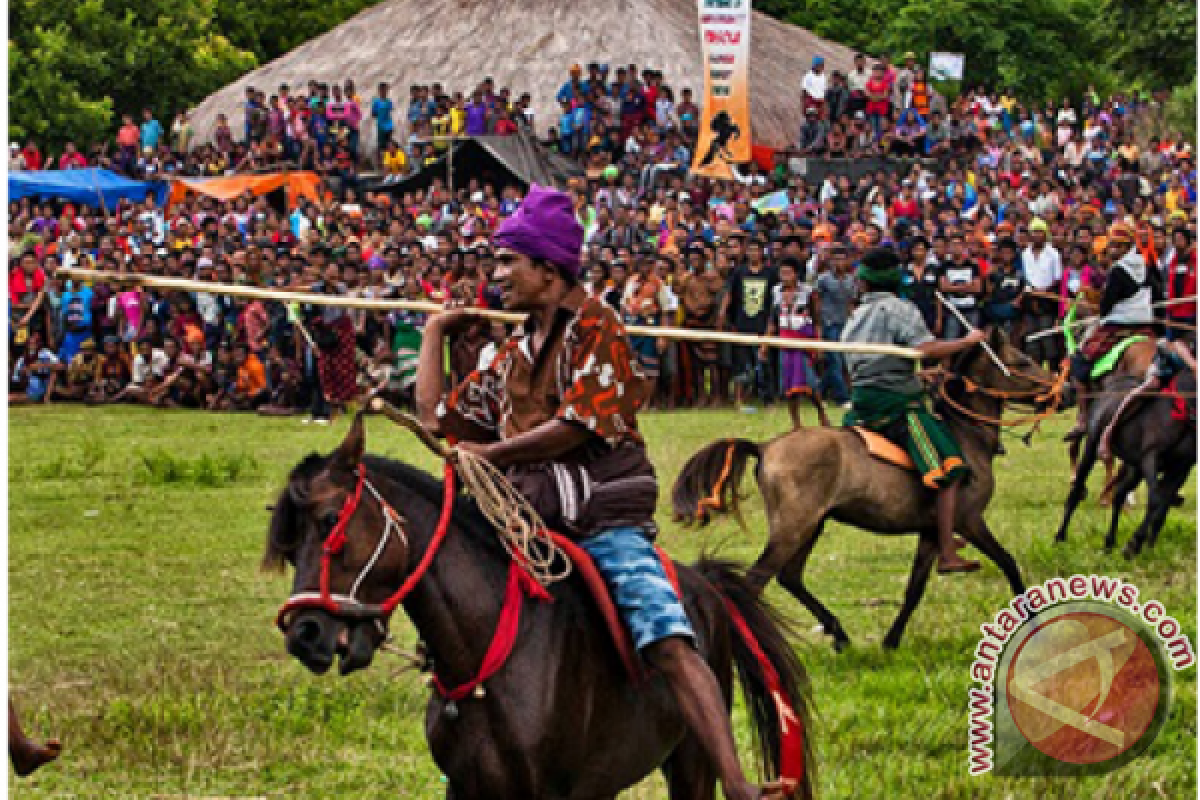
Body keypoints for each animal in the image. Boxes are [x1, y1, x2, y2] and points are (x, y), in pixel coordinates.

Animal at [265, 419, 816, 800]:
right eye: (288, 547)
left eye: (330, 520)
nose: (305, 635)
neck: (486, 653)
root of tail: (706, 587)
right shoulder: (465, 787)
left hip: (693, 760)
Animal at [672, 331, 1056, 652]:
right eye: (1023, 362)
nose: (1060, 390)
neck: (966, 433)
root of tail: (765, 447)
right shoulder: (969, 520)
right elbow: (1008, 563)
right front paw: (1034, 623)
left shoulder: (932, 532)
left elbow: (914, 589)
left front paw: (891, 640)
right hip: (793, 528)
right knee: (754, 583)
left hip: (811, 525)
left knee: (790, 577)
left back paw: (838, 633)